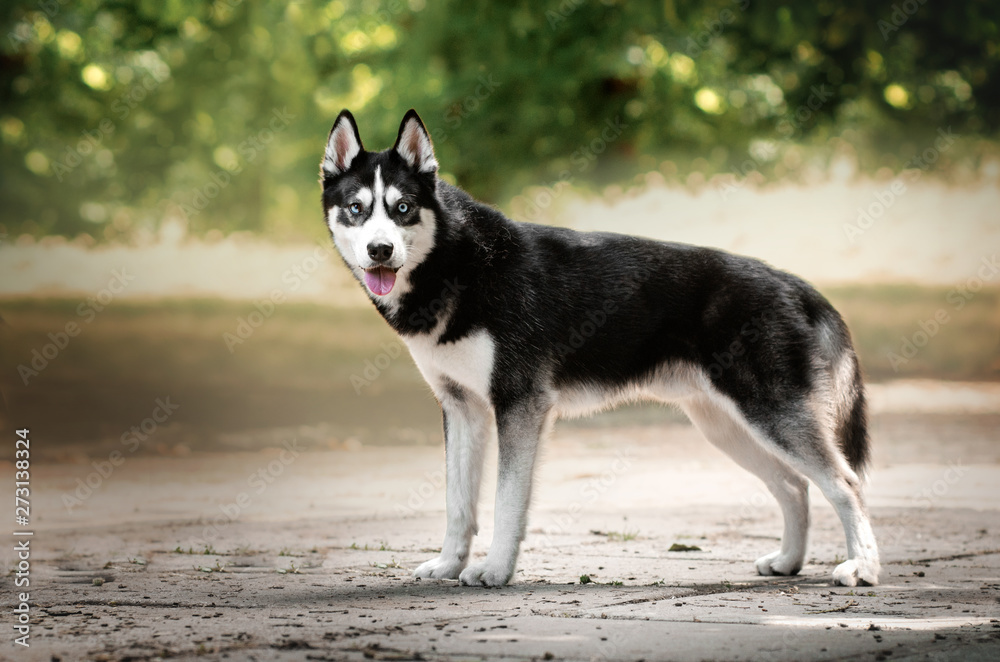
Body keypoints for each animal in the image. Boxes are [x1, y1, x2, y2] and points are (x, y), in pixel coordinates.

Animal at [318, 110, 876, 592]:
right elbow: (460, 505)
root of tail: (793, 283)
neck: (459, 264)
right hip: (728, 427)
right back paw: (788, 562)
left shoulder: (519, 406)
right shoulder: (462, 410)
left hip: (770, 416)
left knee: (845, 483)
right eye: (357, 209)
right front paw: (449, 566)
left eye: (403, 208)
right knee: (795, 487)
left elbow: (505, 502)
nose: (380, 251)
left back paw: (863, 569)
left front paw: (495, 570)